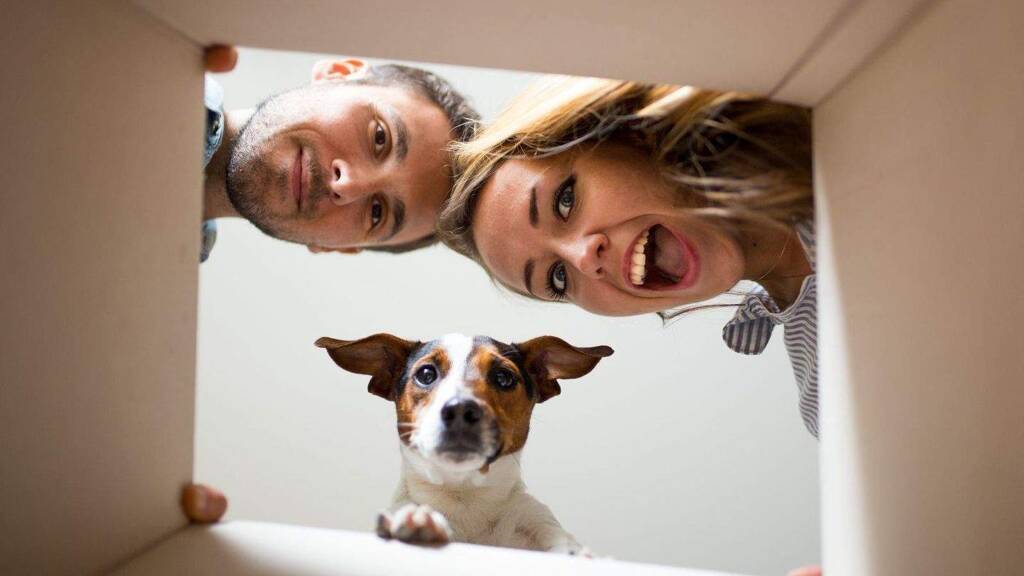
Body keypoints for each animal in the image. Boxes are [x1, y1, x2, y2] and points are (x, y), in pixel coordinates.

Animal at [315, 333, 612, 554]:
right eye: (426, 374)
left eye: (503, 377)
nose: (460, 409)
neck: (466, 495)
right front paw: (419, 521)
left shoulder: (536, 521)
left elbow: (560, 541)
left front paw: (577, 552)